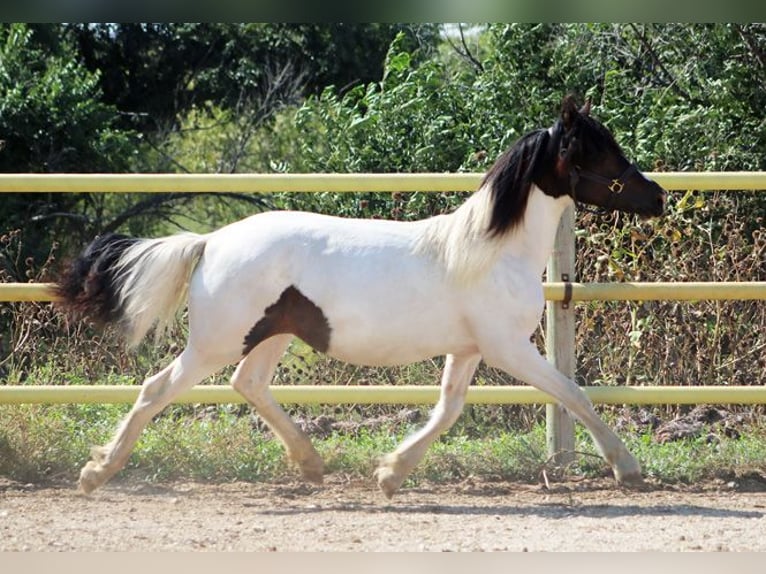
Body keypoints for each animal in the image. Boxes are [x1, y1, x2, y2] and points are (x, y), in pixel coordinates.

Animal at [55, 95, 667, 498]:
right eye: (601, 151)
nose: (658, 196)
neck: (490, 252)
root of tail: (210, 241)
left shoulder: (469, 349)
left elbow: (448, 409)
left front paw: (391, 473)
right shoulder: (509, 347)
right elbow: (574, 394)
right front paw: (628, 468)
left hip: (270, 336)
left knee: (248, 384)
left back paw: (310, 464)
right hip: (216, 342)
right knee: (156, 389)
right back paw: (96, 473)